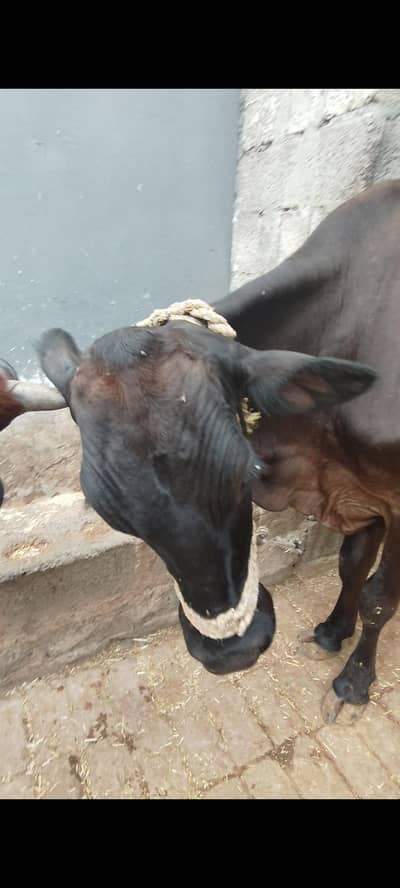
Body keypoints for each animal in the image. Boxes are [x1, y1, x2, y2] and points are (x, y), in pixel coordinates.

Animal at [36, 179, 400, 723]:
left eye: (245, 471)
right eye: (108, 510)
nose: (232, 653)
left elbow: (379, 595)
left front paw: (353, 684)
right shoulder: (358, 492)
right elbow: (351, 564)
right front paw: (333, 632)